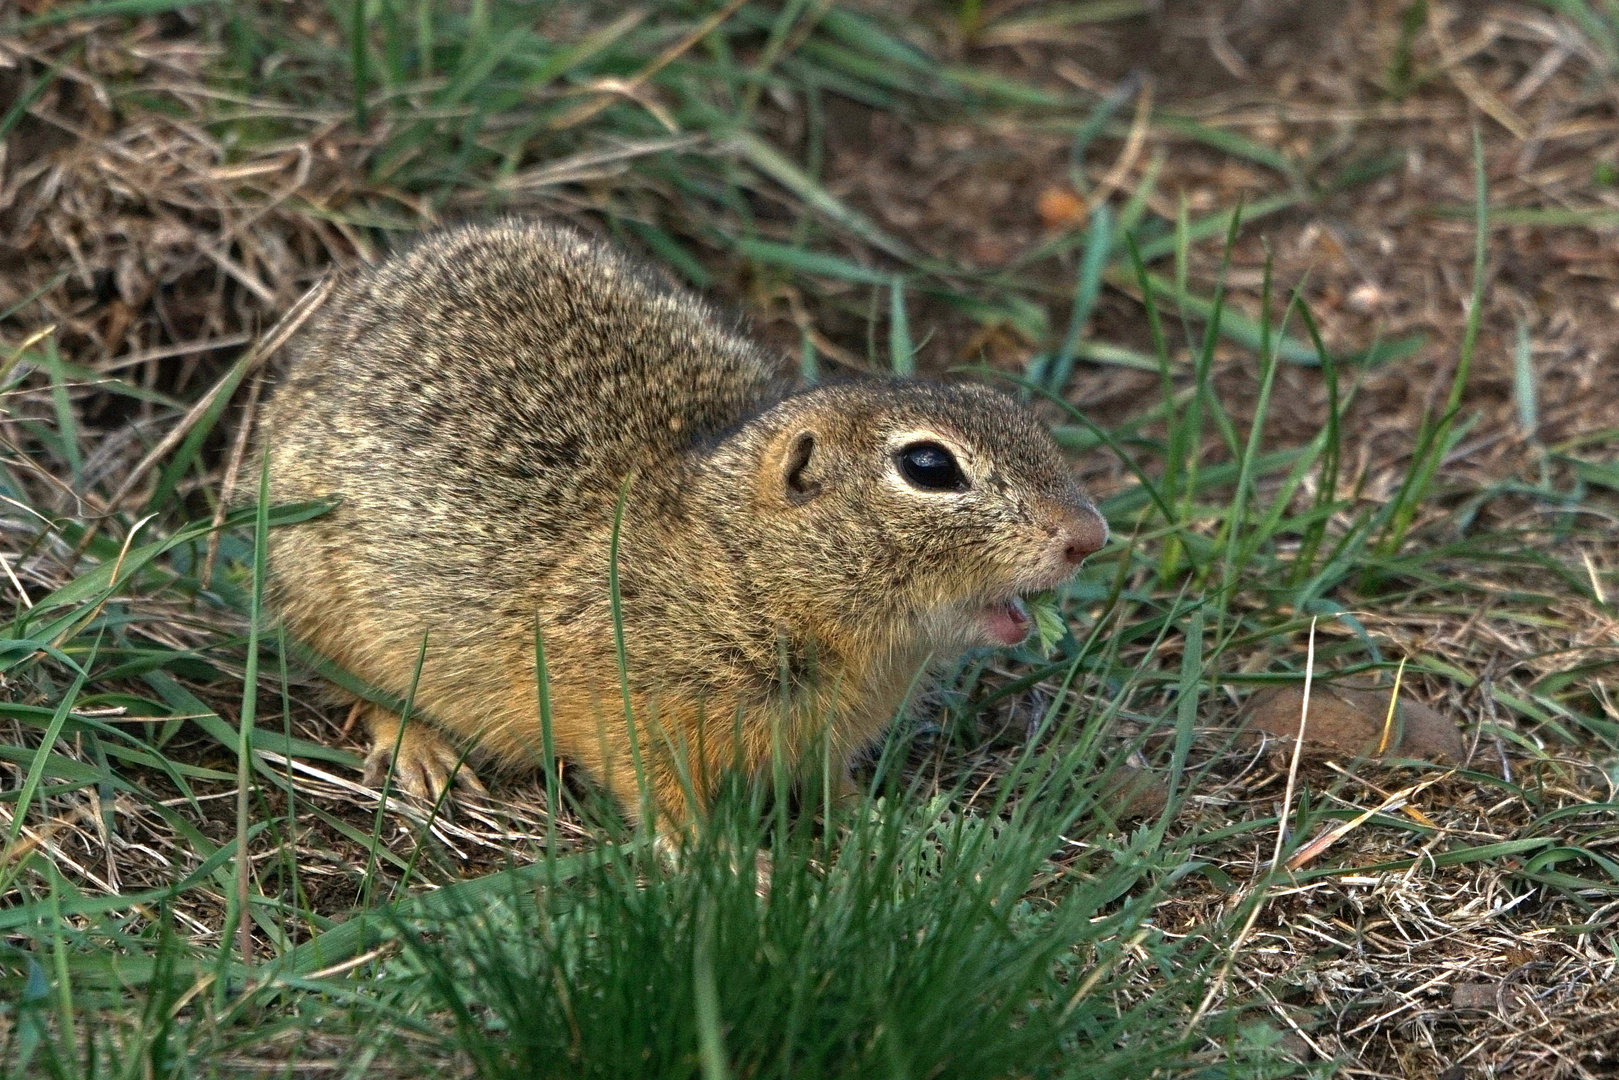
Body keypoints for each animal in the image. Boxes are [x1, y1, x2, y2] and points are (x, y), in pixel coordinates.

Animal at [255, 220, 1113, 829]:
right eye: (928, 467)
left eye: (1012, 410)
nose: (1089, 536)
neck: (741, 563)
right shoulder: (622, 707)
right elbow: (660, 795)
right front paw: (730, 869)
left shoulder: (826, 733)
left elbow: (828, 783)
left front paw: (876, 824)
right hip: (329, 603)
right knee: (355, 687)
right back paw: (423, 754)